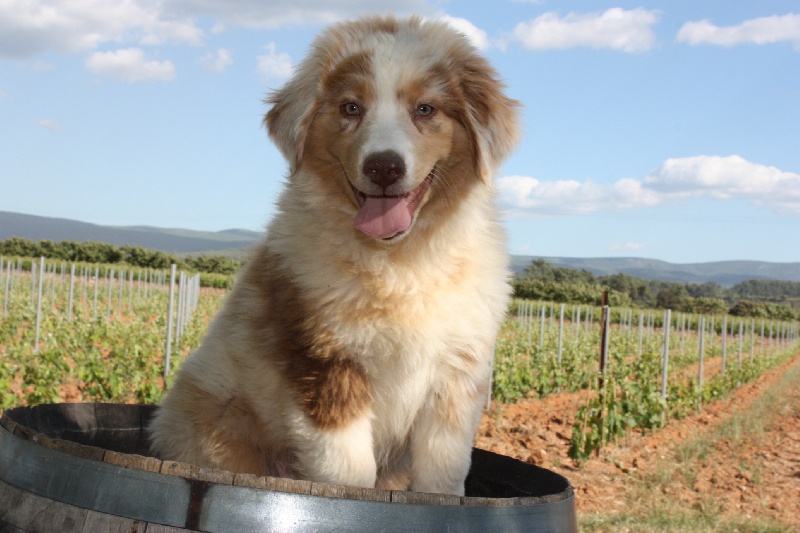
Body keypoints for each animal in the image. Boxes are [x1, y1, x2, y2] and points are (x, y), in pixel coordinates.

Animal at [150, 14, 520, 494]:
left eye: (425, 109)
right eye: (351, 108)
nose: (383, 166)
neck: (400, 263)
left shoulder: (456, 378)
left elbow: (442, 474)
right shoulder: (325, 364)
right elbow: (346, 471)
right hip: (219, 422)